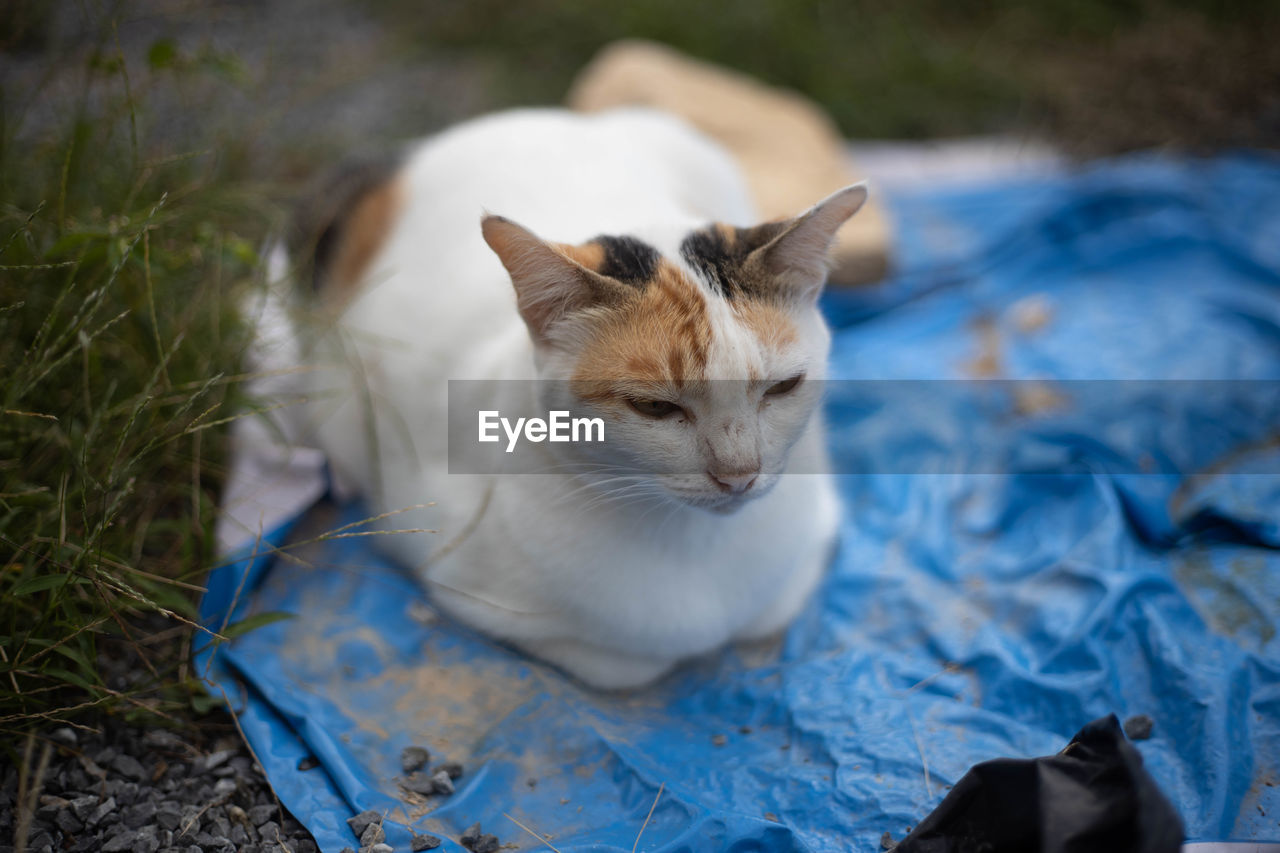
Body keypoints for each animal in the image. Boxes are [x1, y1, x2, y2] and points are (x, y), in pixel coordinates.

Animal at [293, 106, 865, 686]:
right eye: (654, 406)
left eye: (783, 387)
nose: (739, 475)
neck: (693, 545)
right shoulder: (448, 566)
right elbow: (625, 664)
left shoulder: (814, 537)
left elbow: (772, 611)